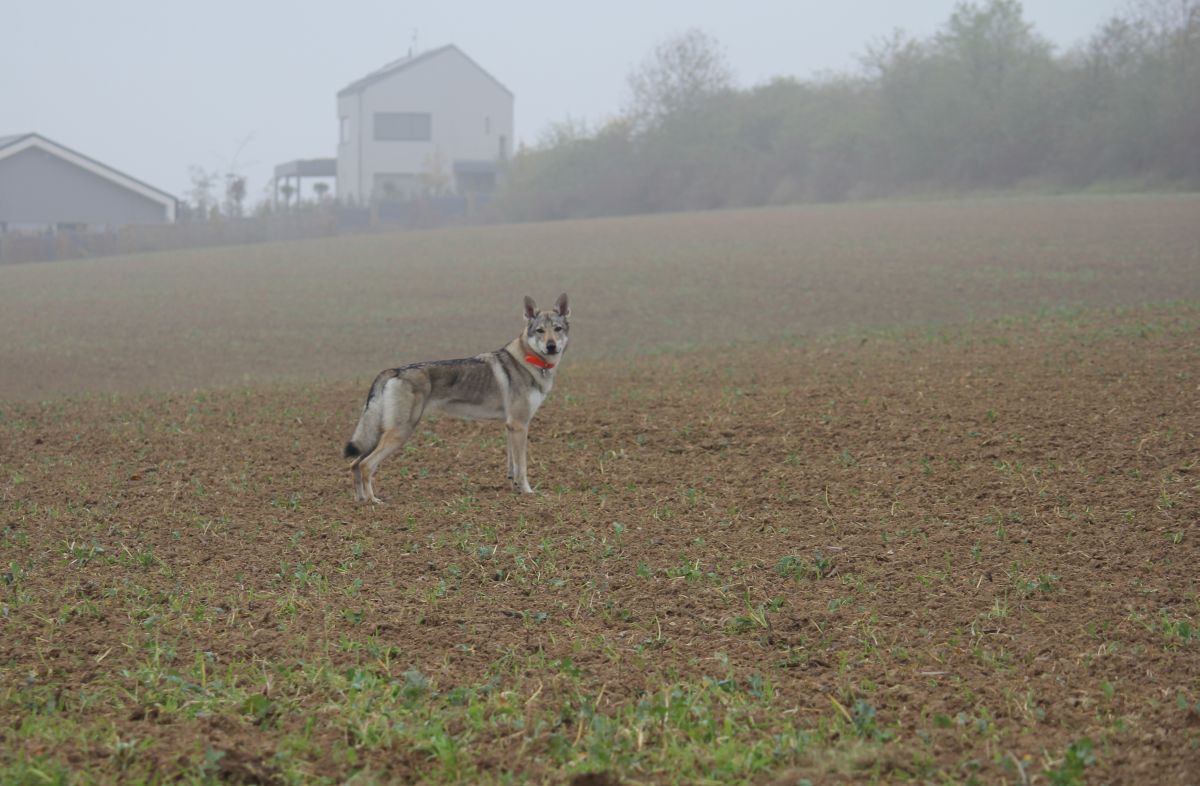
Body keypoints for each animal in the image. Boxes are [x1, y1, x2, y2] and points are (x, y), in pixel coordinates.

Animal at [348, 291, 571, 501]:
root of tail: (395, 370)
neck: (529, 361)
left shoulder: (511, 426)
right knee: (366, 465)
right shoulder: (519, 424)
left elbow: (512, 467)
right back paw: (374, 501)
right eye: (540, 331)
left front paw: (515, 490)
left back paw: (360, 500)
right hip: (400, 432)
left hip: (380, 434)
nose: (551, 346)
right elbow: (522, 466)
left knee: (354, 464)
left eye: (557, 329)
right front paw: (528, 492)